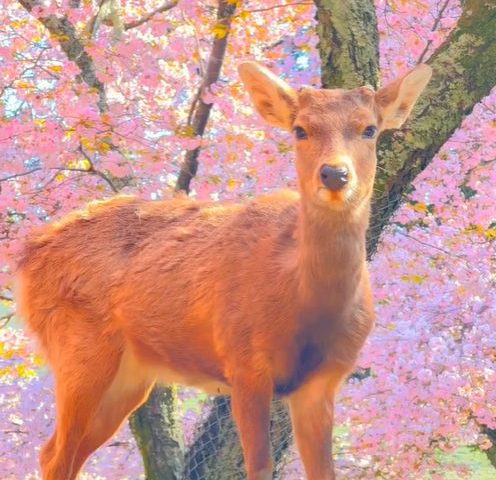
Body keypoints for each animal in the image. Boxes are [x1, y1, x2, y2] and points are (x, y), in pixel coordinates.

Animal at [16, 61, 430, 480]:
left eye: (369, 129)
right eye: (300, 129)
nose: (334, 174)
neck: (304, 307)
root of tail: (28, 256)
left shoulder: (324, 382)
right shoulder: (243, 361)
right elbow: (259, 468)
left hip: (130, 375)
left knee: (62, 451)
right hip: (76, 346)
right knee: (57, 453)